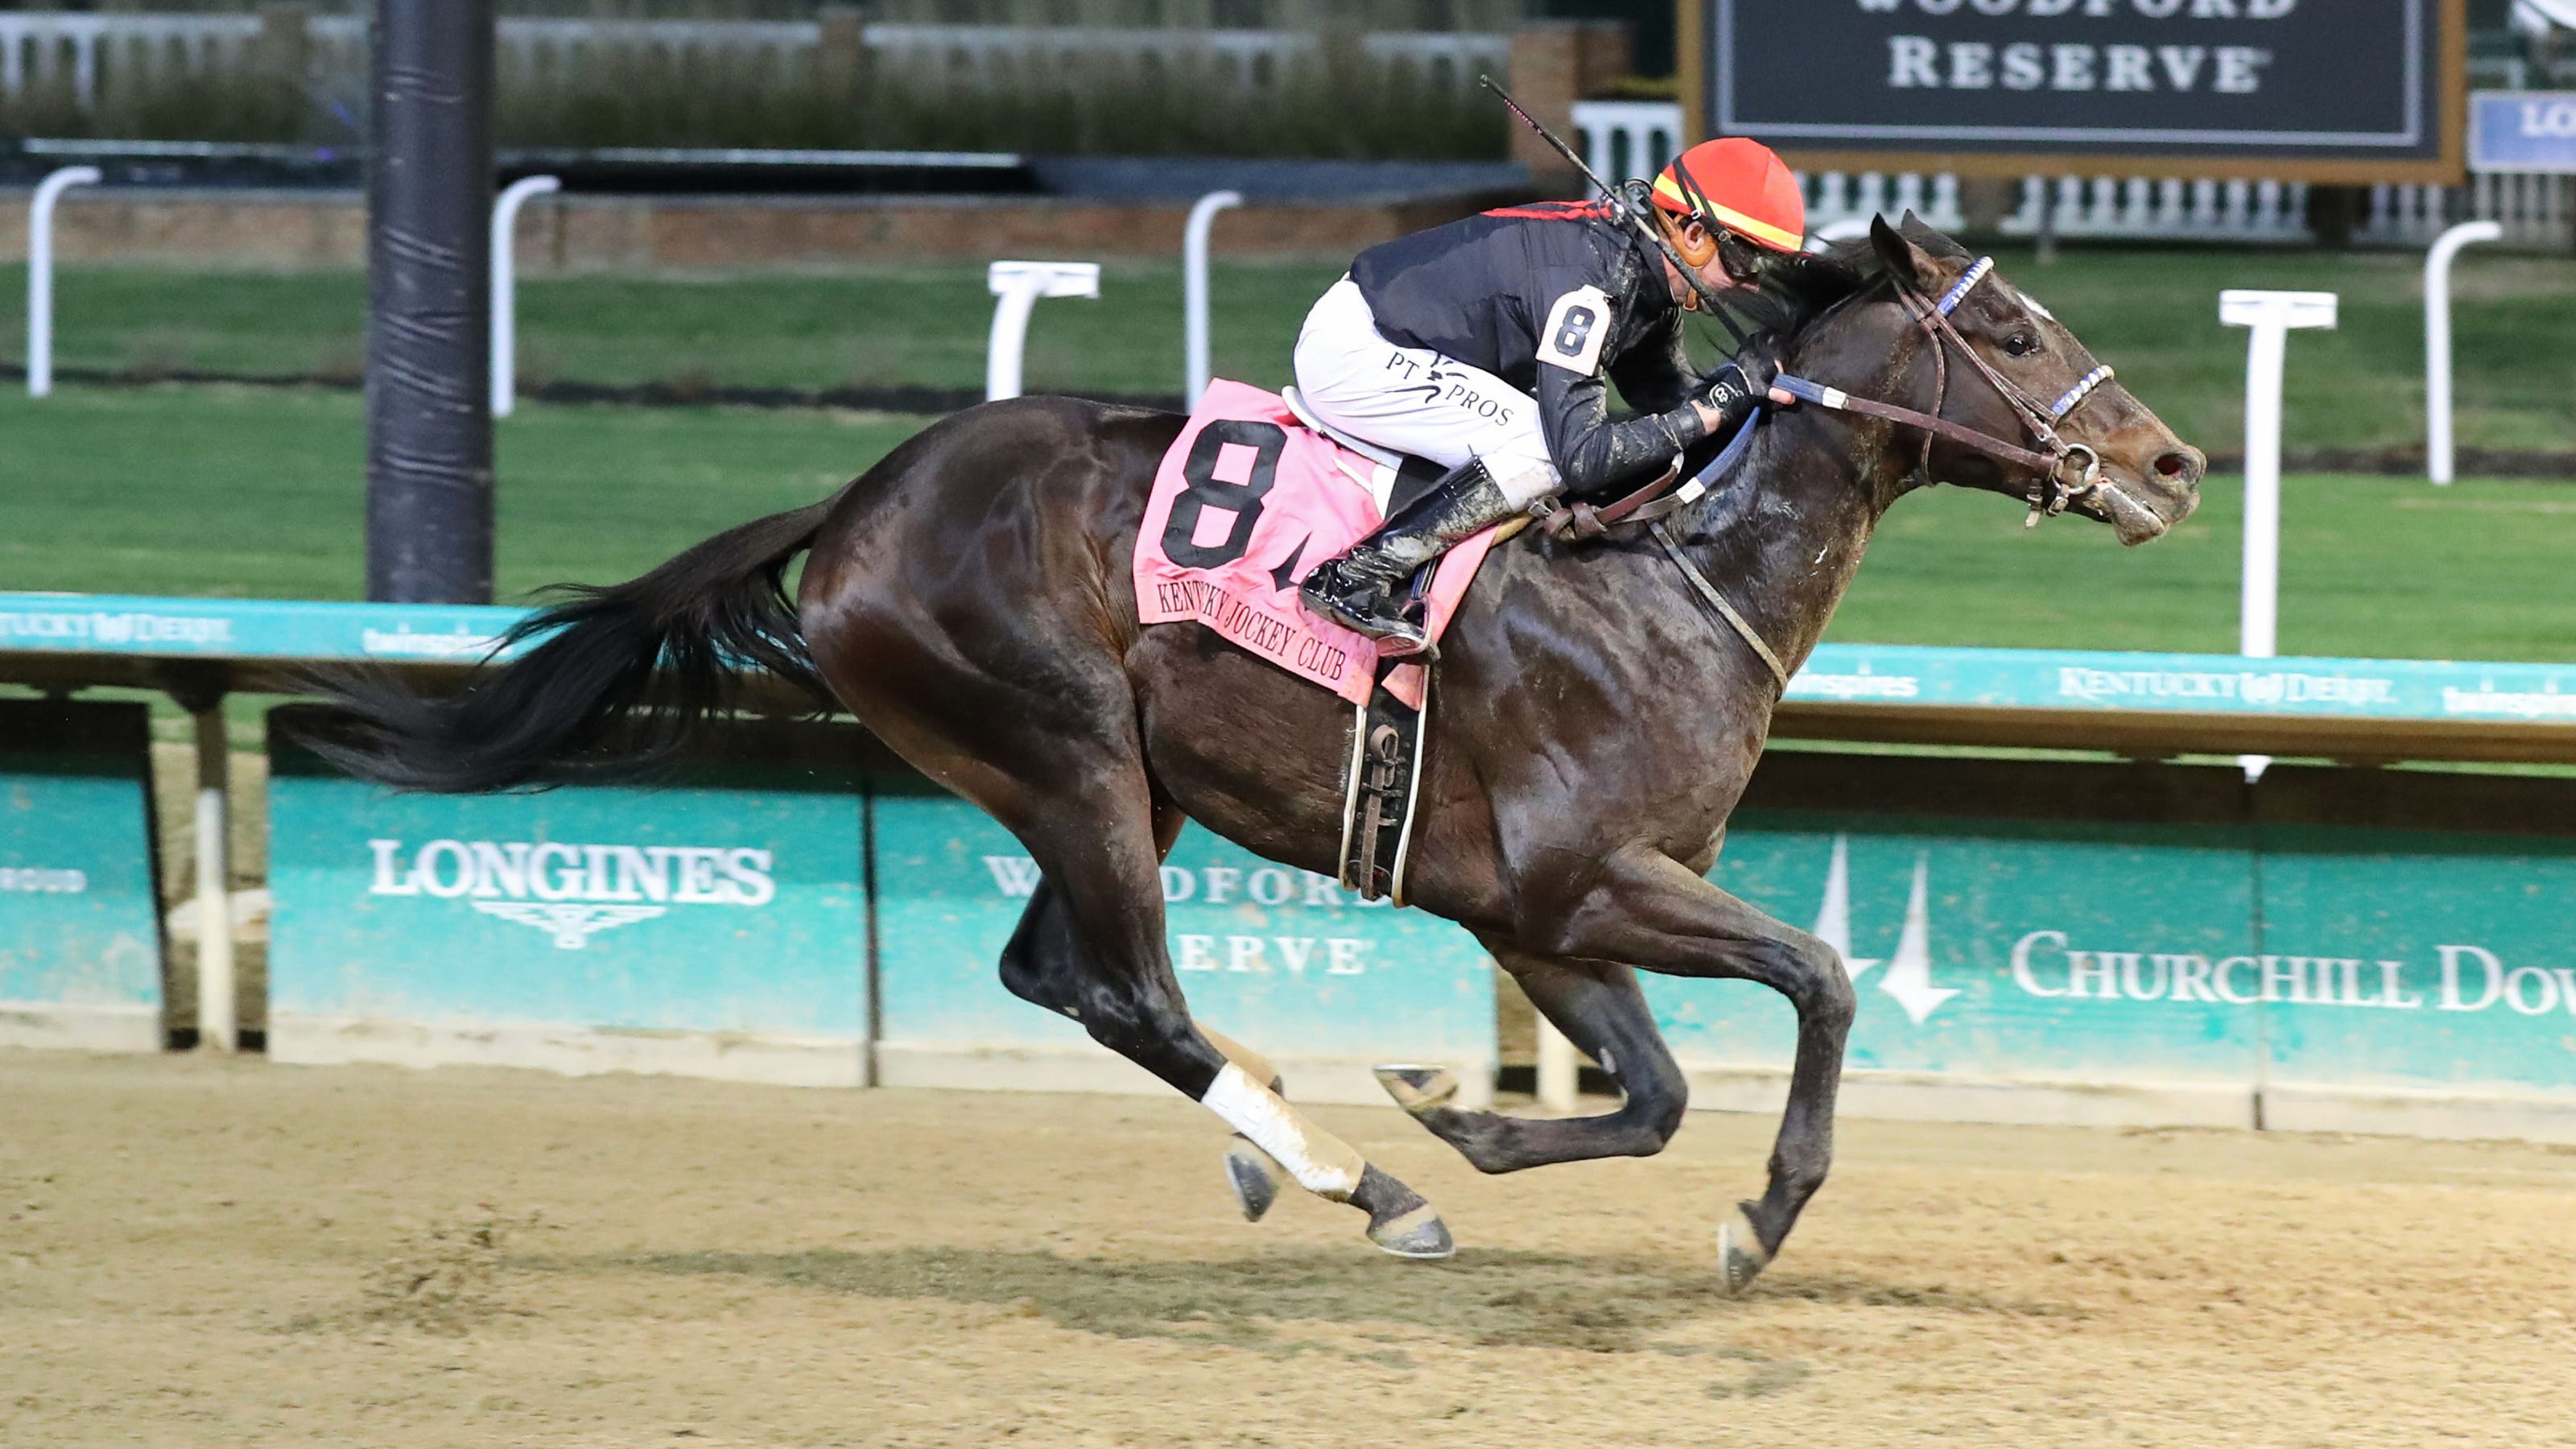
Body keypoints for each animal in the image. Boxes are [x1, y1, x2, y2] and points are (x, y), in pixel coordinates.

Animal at [319, 215, 2204, 1291]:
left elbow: (1658, 1096)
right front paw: (1757, 1217)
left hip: (1105, 786)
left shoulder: (1535, 914)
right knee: (1129, 992)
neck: (1676, 579)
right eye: (2014, 334)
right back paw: (1354, 1181)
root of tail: (853, 506)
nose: (2175, 465)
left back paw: (1308, 1149)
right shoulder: (1584, 884)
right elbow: (1820, 979)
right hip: (1066, 749)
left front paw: (1464, 1114)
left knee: (1059, 979)